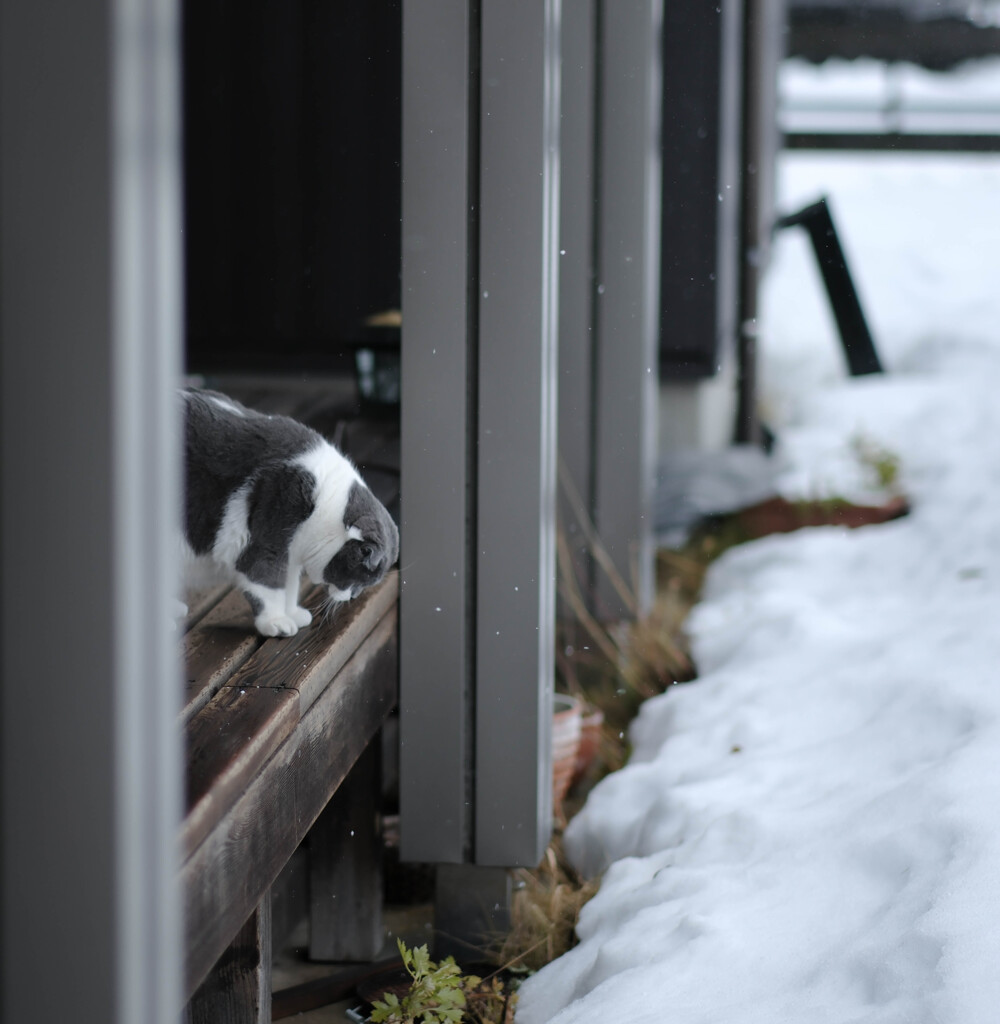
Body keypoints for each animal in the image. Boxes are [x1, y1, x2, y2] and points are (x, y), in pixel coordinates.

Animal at [179, 387, 397, 634]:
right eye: (361, 579)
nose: (353, 596)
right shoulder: (265, 543)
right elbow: (268, 585)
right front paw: (276, 621)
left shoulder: (290, 556)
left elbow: (290, 586)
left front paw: (292, 612)